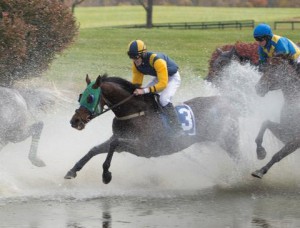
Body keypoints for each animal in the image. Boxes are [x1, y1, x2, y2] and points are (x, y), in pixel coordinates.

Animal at [64, 74, 240, 184]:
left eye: (90, 98)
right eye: (80, 96)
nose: (74, 121)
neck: (134, 113)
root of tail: (228, 102)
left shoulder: (144, 147)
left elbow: (114, 144)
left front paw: (106, 175)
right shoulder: (122, 139)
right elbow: (95, 149)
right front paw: (72, 171)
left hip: (227, 139)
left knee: (238, 157)